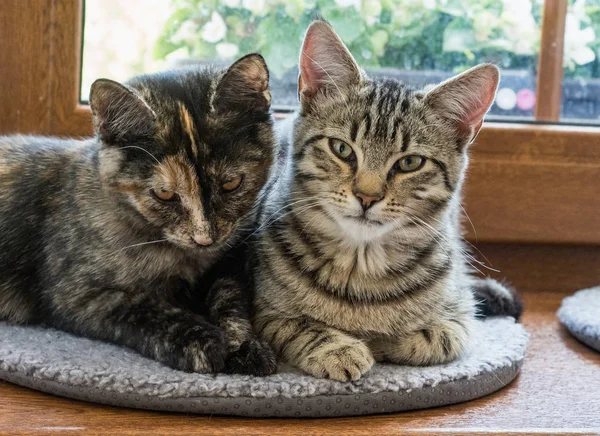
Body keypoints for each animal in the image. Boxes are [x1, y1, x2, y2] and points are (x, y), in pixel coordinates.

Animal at [0, 53, 278, 374]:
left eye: (232, 183)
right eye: (164, 193)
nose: (205, 238)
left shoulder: (228, 264)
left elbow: (230, 297)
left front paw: (245, 345)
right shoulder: (74, 295)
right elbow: (142, 309)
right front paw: (199, 339)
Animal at [253, 21, 520, 382]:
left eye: (410, 163)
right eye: (341, 149)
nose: (367, 196)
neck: (361, 265)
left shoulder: (460, 319)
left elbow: (434, 338)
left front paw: (381, 342)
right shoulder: (264, 312)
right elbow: (298, 326)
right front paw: (338, 348)